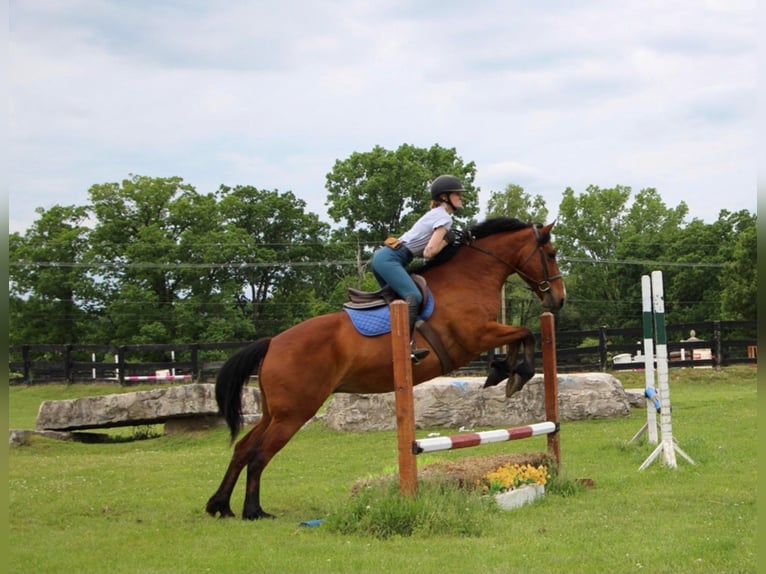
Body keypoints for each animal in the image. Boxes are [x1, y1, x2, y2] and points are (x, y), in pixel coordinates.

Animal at [207, 217, 568, 520]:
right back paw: (253, 511)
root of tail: (272, 343)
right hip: (294, 413)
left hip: (274, 412)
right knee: (258, 455)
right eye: (550, 253)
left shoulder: (485, 334)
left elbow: (520, 337)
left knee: (242, 448)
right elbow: (525, 333)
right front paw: (515, 373)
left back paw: (220, 505)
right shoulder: (476, 335)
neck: (469, 277)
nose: (559, 300)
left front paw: (503, 371)